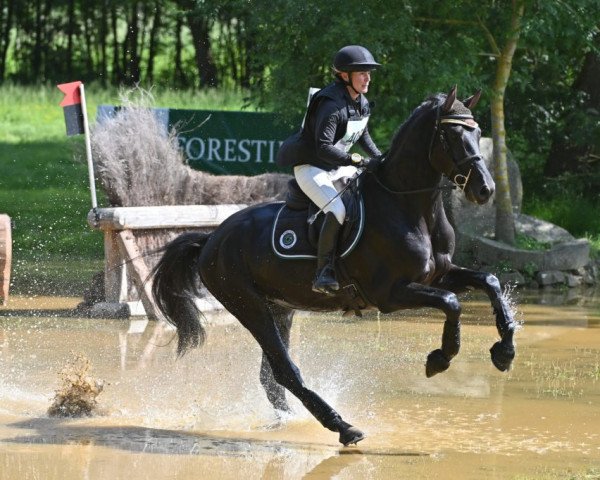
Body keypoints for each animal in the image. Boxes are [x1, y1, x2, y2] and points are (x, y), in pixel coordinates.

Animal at [150, 85, 516, 446]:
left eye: (478, 132)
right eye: (451, 135)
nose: (486, 190)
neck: (409, 206)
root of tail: (212, 238)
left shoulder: (439, 275)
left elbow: (489, 281)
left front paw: (504, 352)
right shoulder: (390, 294)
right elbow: (451, 303)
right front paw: (440, 358)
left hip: (279, 308)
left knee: (270, 375)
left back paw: (295, 421)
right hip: (248, 306)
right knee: (284, 370)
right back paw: (342, 426)